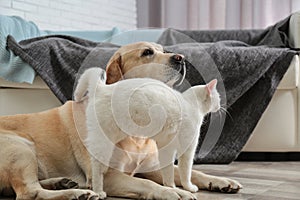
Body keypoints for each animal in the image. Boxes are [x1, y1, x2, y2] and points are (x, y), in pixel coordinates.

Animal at [75, 68, 220, 196]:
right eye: (218, 97)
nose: (220, 105)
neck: (191, 104)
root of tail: (102, 88)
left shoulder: (167, 148)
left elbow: (168, 172)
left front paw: (172, 187)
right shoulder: (188, 147)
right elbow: (186, 170)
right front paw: (188, 187)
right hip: (104, 142)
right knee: (97, 168)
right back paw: (98, 192)